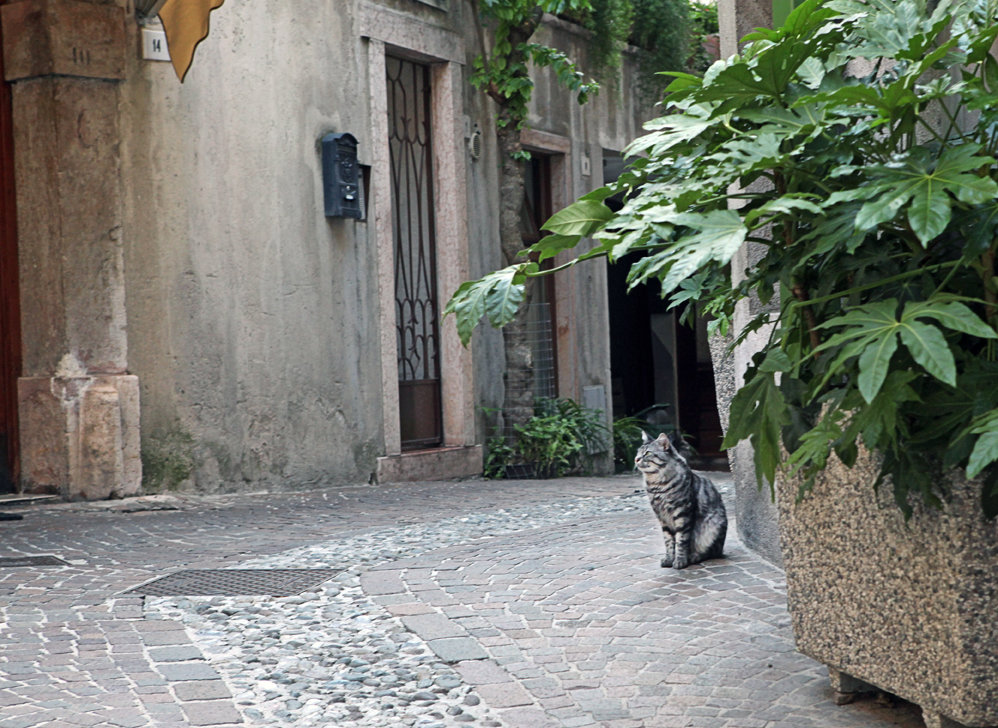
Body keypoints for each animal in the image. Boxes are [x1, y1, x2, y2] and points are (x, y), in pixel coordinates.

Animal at [640, 432, 728, 568]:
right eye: (638, 452)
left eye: (647, 453)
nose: (636, 459)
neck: (657, 485)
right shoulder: (662, 518)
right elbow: (669, 542)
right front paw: (669, 559)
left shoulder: (682, 513)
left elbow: (682, 540)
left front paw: (680, 560)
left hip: (714, 525)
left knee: (711, 552)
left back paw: (694, 556)